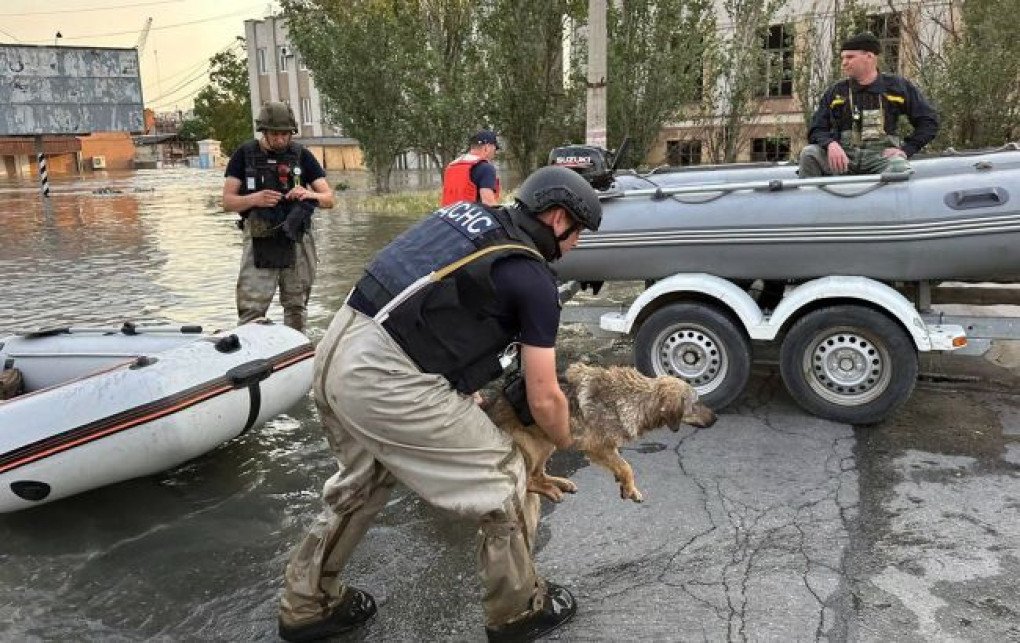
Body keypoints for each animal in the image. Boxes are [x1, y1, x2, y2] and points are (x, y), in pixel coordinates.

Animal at [483, 363, 718, 504]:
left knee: (538, 474)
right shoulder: (597, 447)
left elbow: (621, 466)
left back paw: (561, 483)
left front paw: (626, 486)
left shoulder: (609, 448)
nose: (716, 418)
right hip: (533, 446)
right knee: (528, 480)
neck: (636, 399)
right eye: (695, 404)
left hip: (548, 442)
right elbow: (627, 467)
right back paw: (551, 490)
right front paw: (630, 489)